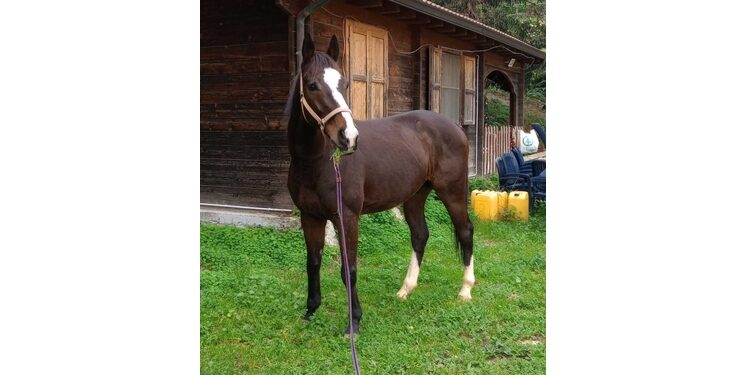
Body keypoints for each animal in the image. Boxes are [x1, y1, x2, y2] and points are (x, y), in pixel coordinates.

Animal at [282, 34, 474, 334]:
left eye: (344, 84)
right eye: (312, 85)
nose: (348, 137)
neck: (316, 161)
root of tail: (454, 127)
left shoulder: (346, 217)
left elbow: (348, 269)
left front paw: (354, 322)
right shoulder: (310, 216)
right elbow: (312, 263)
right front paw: (311, 310)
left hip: (452, 192)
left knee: (465, 231)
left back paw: (465, 290)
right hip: (415, 196)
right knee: (420, 235)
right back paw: (406, 289)